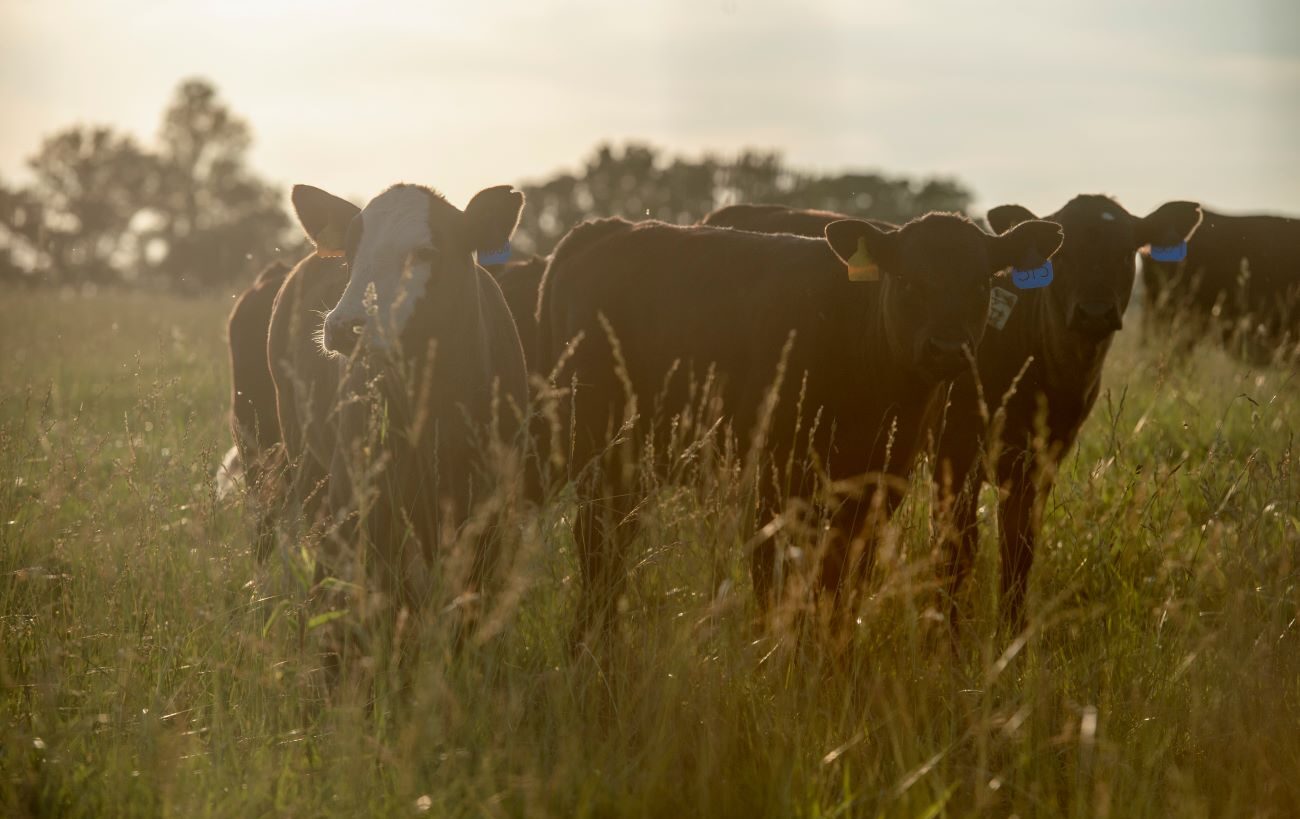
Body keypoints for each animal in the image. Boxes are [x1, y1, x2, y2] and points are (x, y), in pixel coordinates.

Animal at [533, 213, 1060, 647]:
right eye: (909, 281)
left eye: (980, 283)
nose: (948, 347)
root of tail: (603, 229)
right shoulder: (773, 478)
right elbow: (777, 577)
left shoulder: (882, 483)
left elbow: (844, 580)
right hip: (597, 447)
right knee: (597, 543)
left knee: (612, 542)